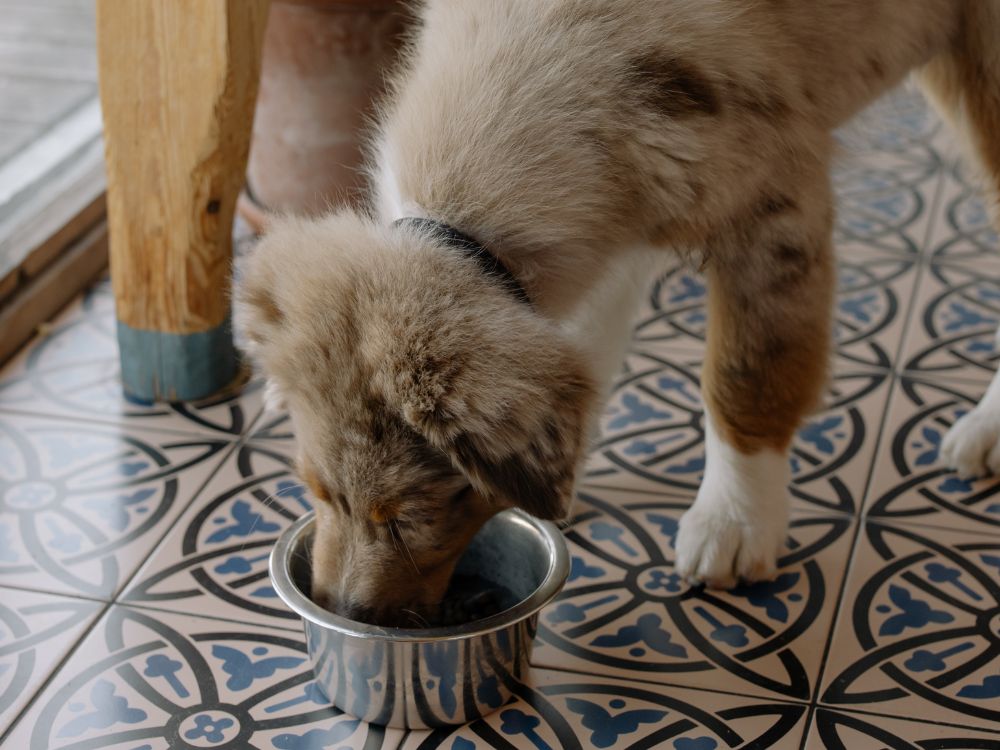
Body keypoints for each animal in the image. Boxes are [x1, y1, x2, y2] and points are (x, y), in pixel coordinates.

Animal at [236, 0, 1000, 628]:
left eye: (408, 518)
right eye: (314, 489)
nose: (339, 610)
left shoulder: (772, 206)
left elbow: (746, 376)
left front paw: (735, 522)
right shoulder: (623, 212)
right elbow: (584, 345)